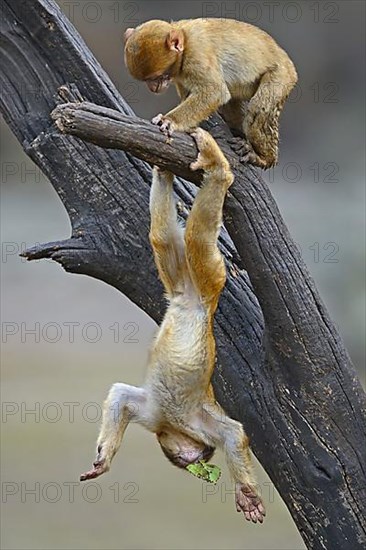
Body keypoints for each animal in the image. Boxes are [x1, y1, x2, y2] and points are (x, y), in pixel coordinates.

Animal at [123, 17, 298, 168]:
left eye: (157, 77)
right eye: (147, 81)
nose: (153, 88)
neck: (185, 40)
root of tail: (285, 57)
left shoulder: (197, 55)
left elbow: (215, 92)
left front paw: (169, 120)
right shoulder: (181, 76)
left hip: (282, 75)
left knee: (258, 107)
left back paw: (264, 158)